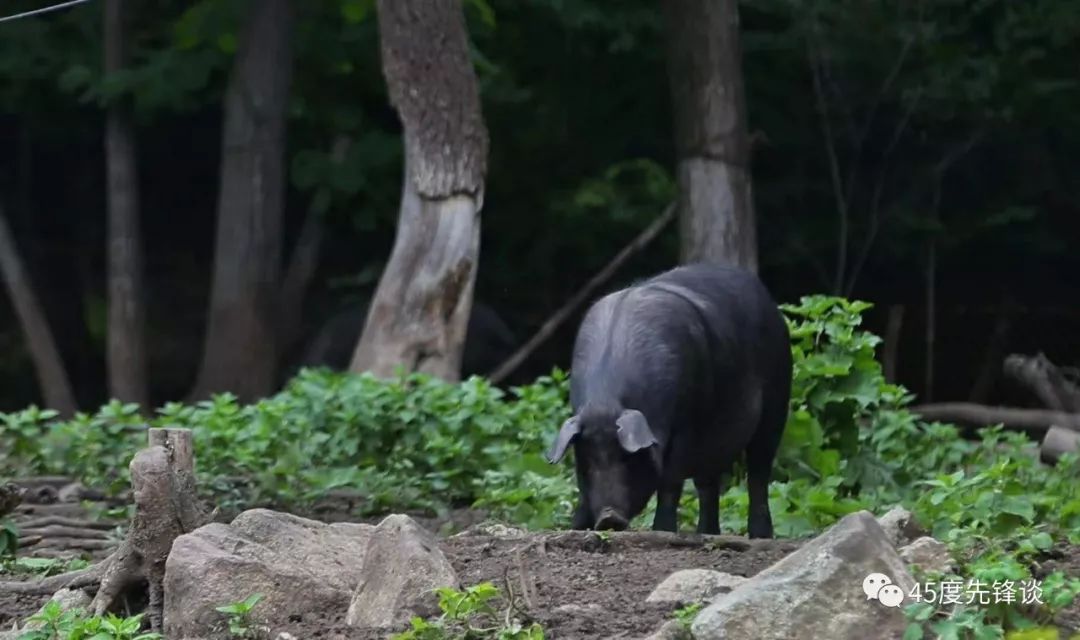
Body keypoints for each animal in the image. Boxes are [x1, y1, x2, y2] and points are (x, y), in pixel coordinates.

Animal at [544, 262, 790, 537]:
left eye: (627, 458)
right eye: (586, 461)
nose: (608, 518)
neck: (606, 403)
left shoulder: (687, 425)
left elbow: (670, 481)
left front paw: (662, 531)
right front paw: (576, 527)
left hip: (777, 398)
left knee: (758, 471)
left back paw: (759, 535)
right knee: (708, 484)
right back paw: (706, 533)